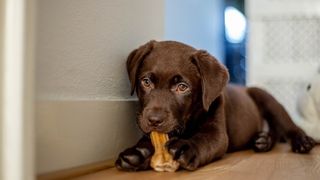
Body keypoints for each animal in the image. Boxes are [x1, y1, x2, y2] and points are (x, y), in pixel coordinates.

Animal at [115, 40, 316, 171]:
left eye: (182, 87)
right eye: (146, 82)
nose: (154, 120)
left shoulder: (217, 134)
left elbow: (203, 140)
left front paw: (185, 147)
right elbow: (147, 141)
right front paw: (138, 153)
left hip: (266, 98)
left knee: (289, 125)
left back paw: (302, 141)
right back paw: (263, 140)